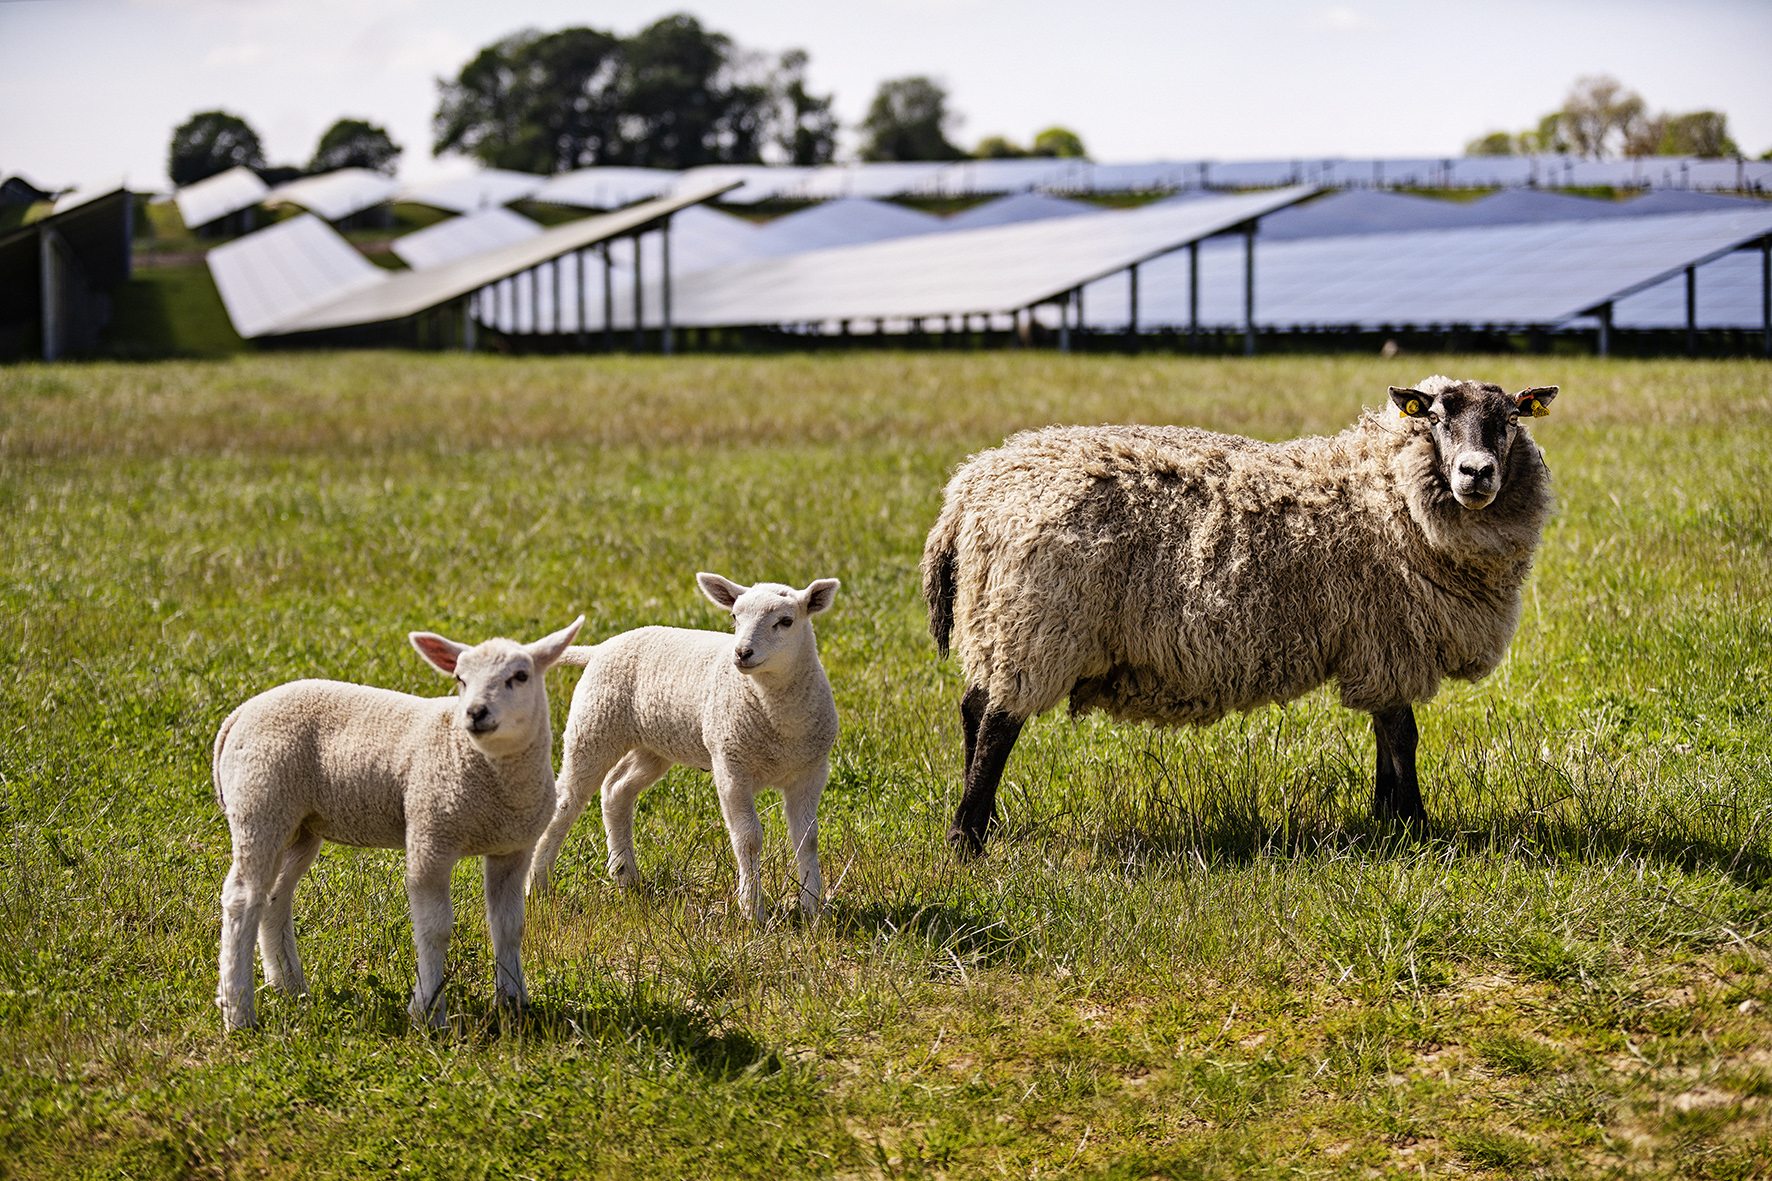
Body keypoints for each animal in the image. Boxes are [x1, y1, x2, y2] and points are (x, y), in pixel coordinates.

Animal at [209, 610, 581, 1028]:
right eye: (460, 679)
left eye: (520, 676)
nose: (475, 713)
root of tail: (239, 714)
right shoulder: (429, 833)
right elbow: (435, 930)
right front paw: (428, 1011)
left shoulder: (514, 848)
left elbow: (509, 926)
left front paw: (515, 1004)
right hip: (260, 805)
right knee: (242, 899)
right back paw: (238, 1010)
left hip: (299, 824)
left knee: (274, 898)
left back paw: (290, 987)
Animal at [520, 570, 839, 922]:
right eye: (734, 617)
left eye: (785, 621)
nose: (742, 653)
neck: (778, 720)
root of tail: (598, 649)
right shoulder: (730, 767)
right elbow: (748, 839)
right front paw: (752, 911)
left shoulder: (811, 771)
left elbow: (807, 840)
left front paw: (814, 910)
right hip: (592, 726)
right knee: (567, 801)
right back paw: (537, 884)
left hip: (652, 745)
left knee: (616, 789)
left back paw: (626, 876)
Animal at [921, 372, 1559, 851]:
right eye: (1437, 418)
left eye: (1510, 419)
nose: (1476, 473)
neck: (1390, 492)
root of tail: (971, 489)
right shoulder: (1391, 637)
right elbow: (1404, 735)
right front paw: (1415, 827)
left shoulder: (1378, 644)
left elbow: (1386, 731)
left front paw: (1387, 820)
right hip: (1035, 624)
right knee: (998, 723)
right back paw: (966, 841)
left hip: (999, 620)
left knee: (974, 708)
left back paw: (983, 823)